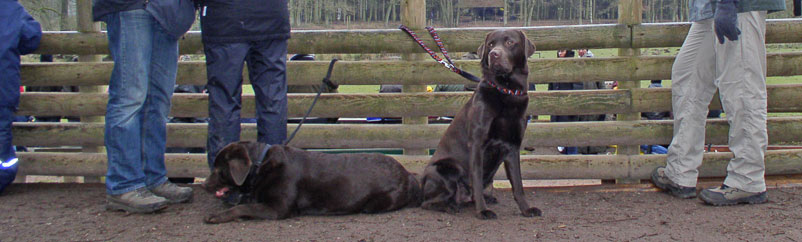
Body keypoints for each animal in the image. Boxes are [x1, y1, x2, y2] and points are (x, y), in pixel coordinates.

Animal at [202, 141, 418, 224]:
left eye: (218, 170)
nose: (204, 185)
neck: (260, 164)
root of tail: (407, 173)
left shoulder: (277, 208)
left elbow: (244, 207)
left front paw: (217, 216)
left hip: (377, 202)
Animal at [418, 28, 536, 219]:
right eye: (491, 44)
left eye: (510, 42)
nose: (494, 54)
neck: (506, 91)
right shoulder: (477, 143)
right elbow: (477, 180)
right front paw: (482, 211)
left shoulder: (512, 146)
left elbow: (518, 184)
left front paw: (526, 209)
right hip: (446, 169)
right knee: (427, 203)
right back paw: (450, 206)